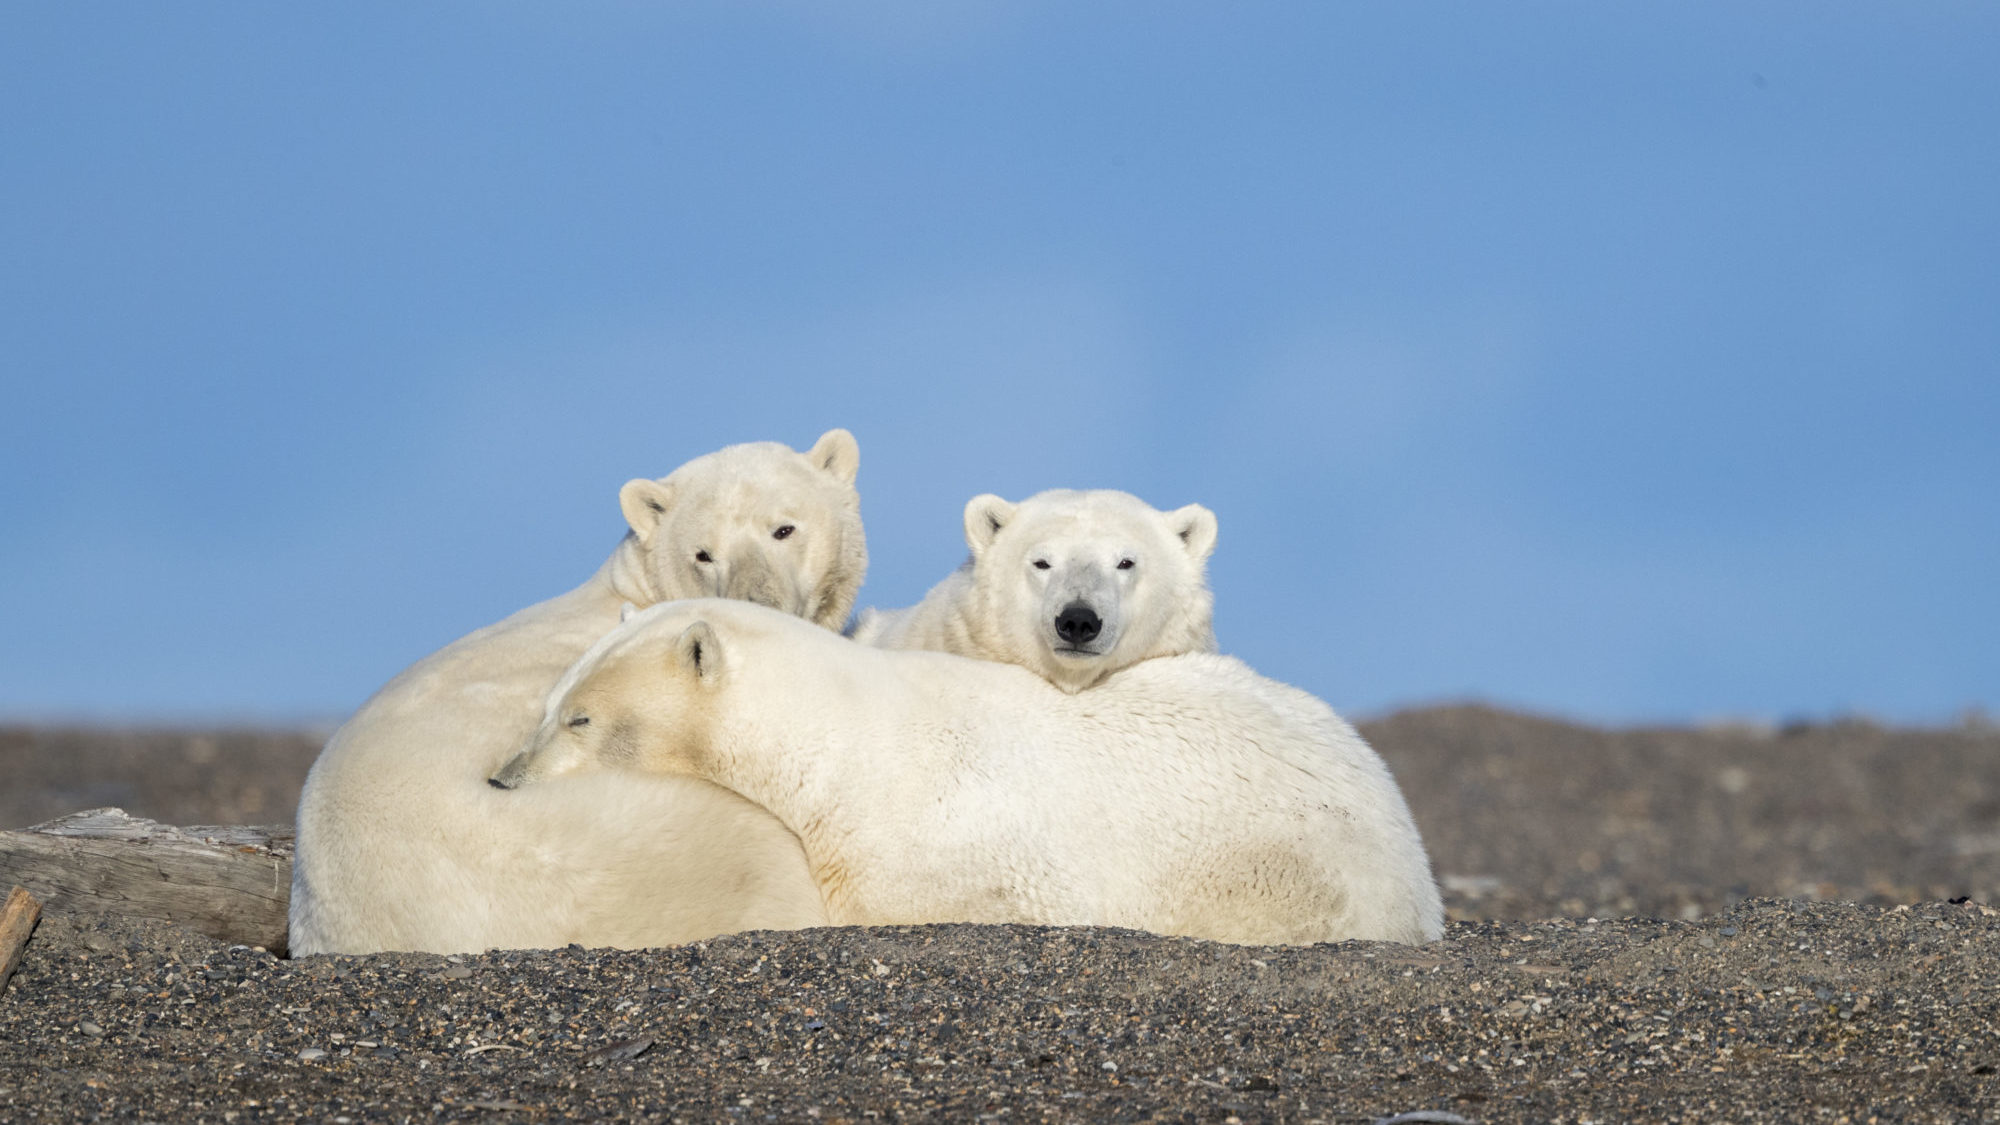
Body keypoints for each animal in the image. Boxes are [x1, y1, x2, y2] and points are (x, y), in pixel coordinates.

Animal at [494, 596, 1448, 944]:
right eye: (550, 701)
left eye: (581, 718)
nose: (504, 779)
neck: (840, 739)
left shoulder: (937, 845)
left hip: (1285, 871)